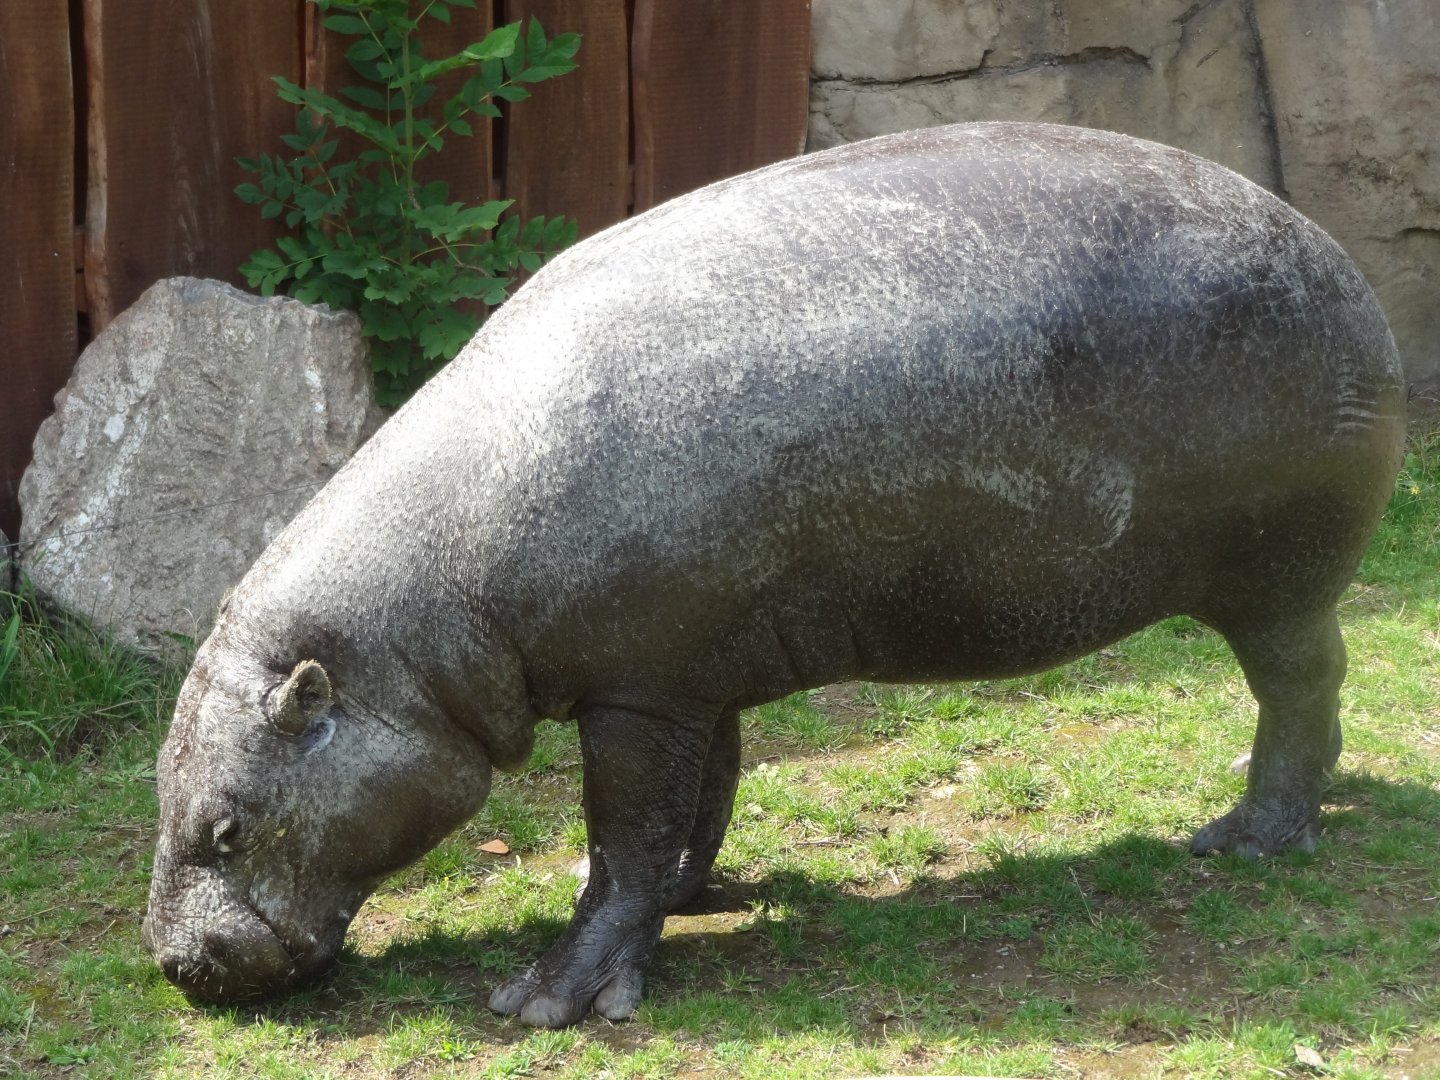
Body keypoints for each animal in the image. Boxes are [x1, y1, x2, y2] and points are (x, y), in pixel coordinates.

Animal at [143, 122, 1405, 1027]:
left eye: (226, 828)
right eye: (162, 792)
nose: (168, 962)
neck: (424, 625)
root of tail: (1334, 254)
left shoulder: (637, 693)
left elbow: (624, 834)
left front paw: (548, 1001)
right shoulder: (693, 675)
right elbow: (698, 803)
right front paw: (694, 896)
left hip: (1274, 579)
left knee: (1305, 685)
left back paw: (1247, 837)